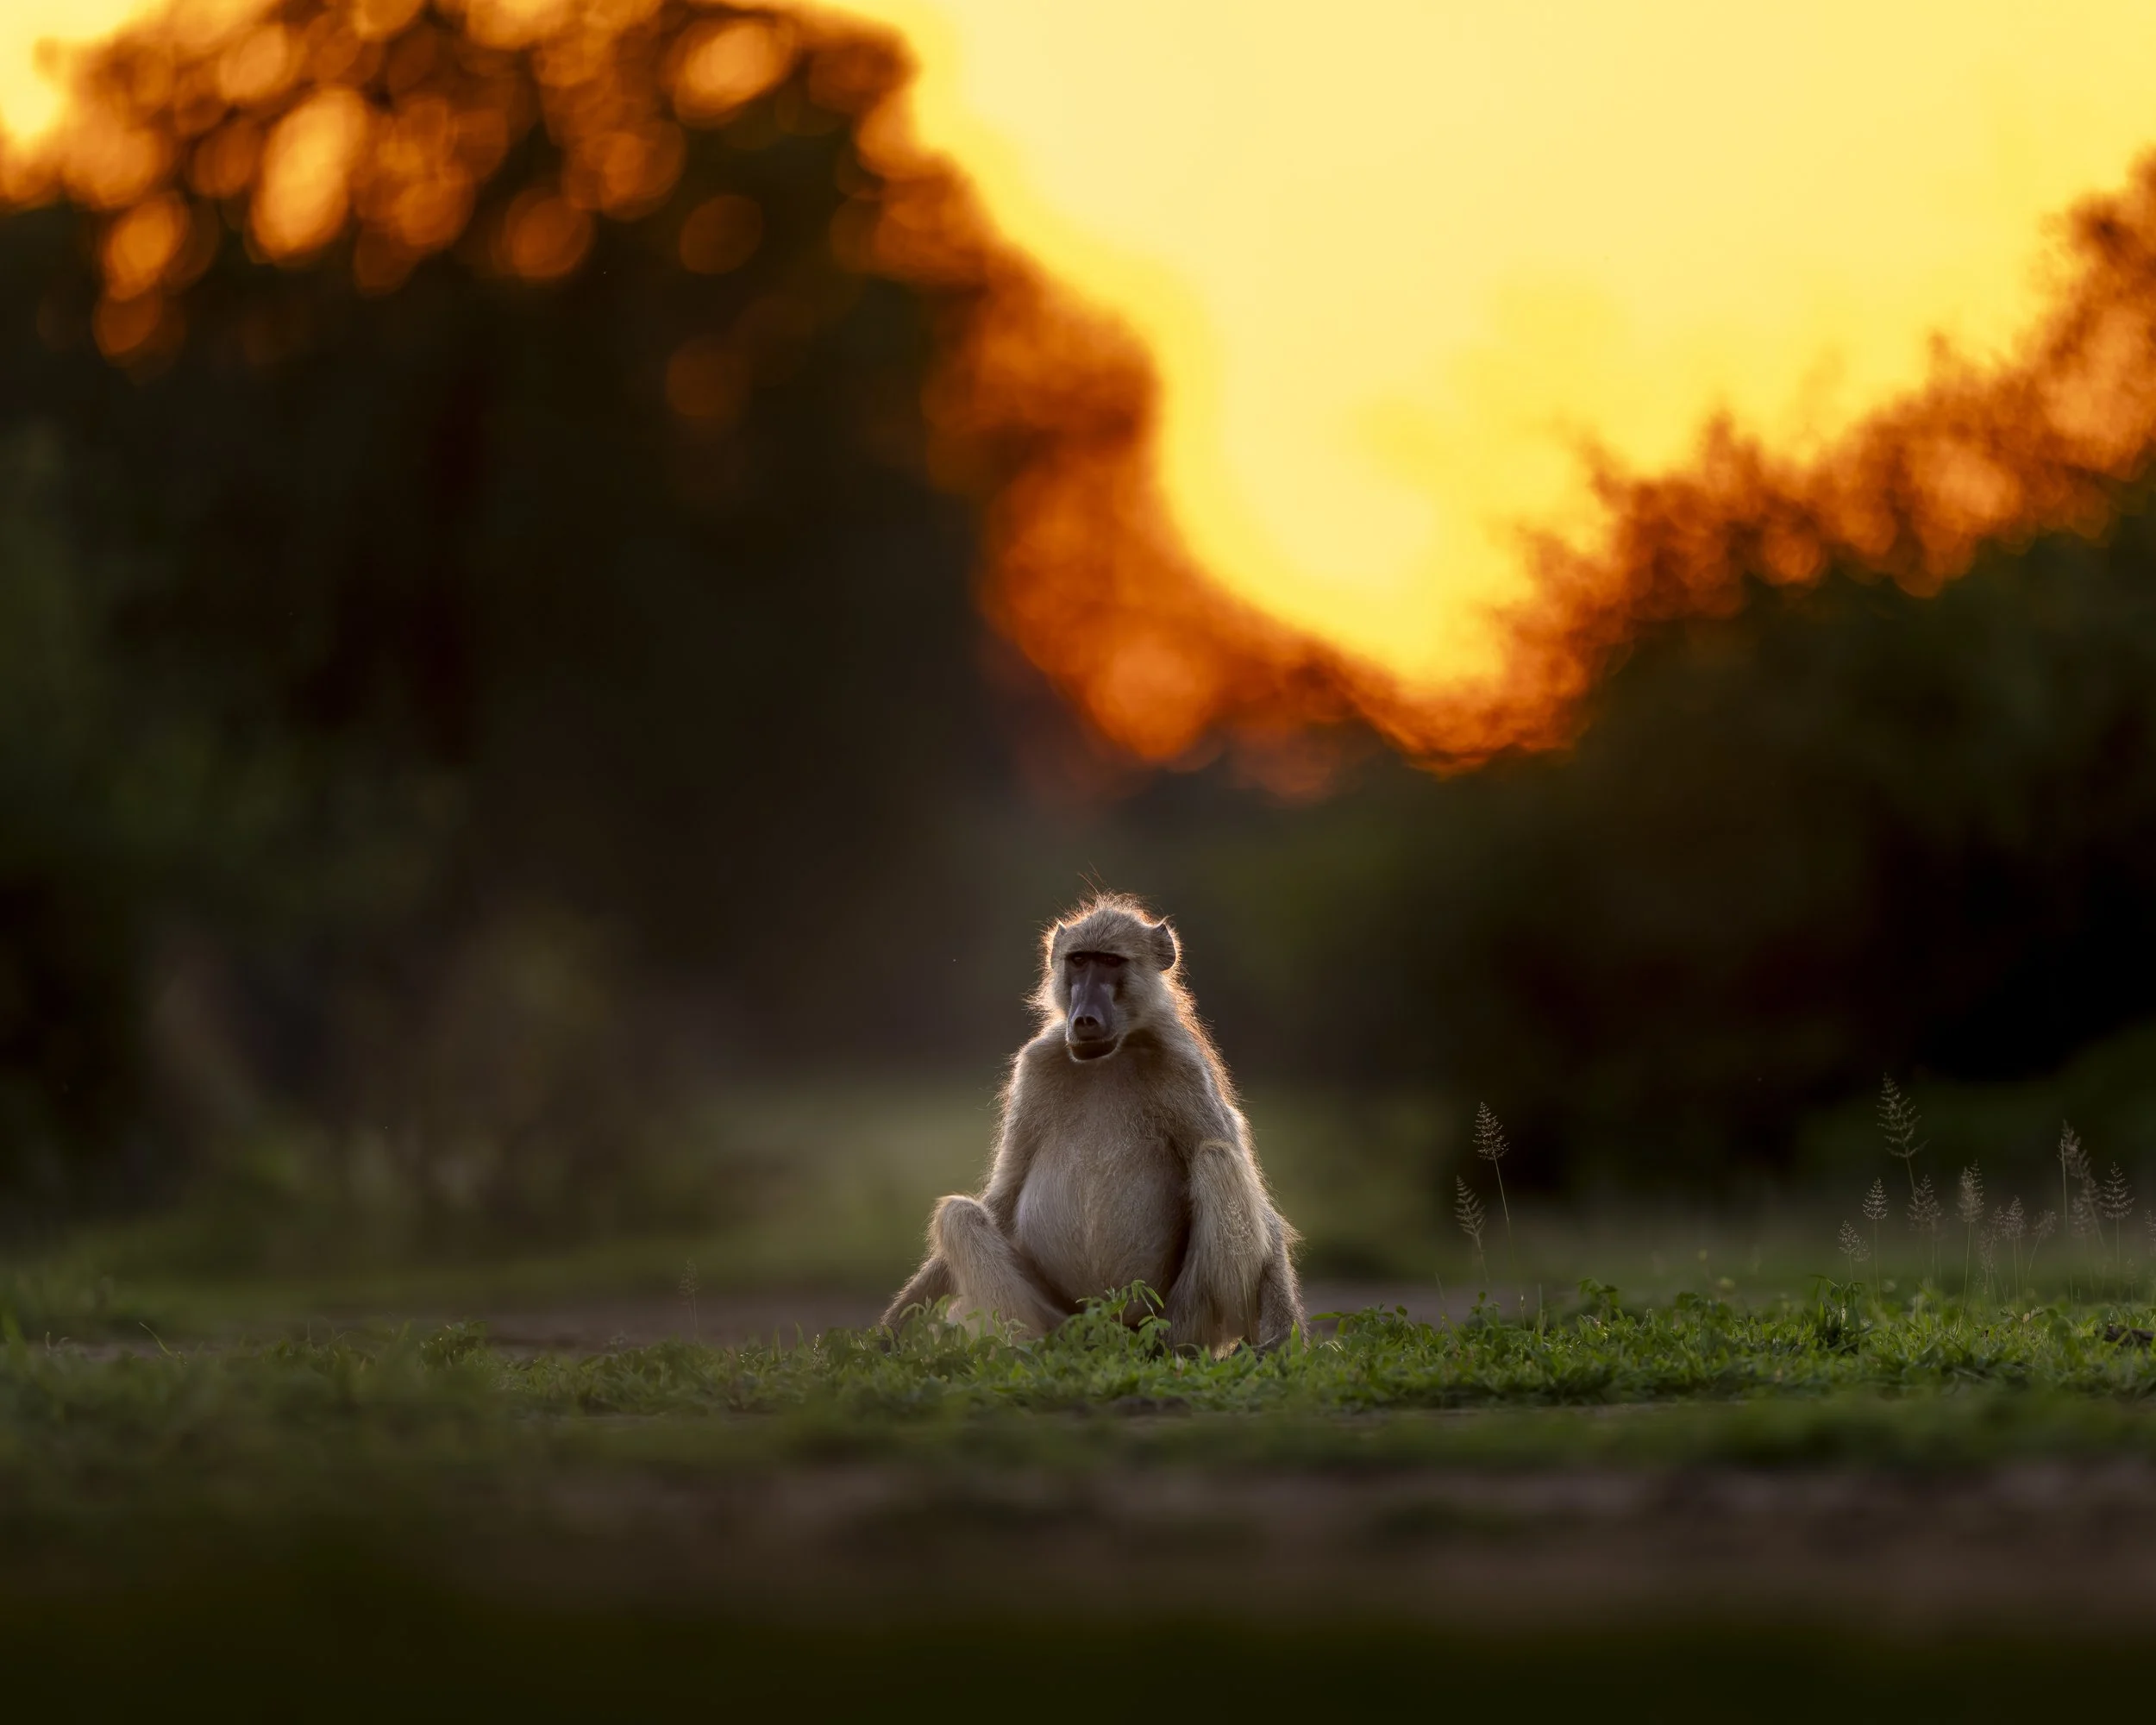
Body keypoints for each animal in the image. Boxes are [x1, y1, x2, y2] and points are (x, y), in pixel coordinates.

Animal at [880, 894, 1304, 1353]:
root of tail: (1110, 1334)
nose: (1084, 1019)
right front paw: (890, 1330)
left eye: (1111, 962)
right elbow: (1002, 1198)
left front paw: (1283, 1336)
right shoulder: (1036, 1065)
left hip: (1179, 1322)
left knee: (1217, 1159)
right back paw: (1028, 1351)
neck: (1112, 1057)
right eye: (1079, 961)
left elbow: (1262, 1210)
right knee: (959, 1216)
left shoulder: (1187, 1071)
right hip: (1063, 1325)